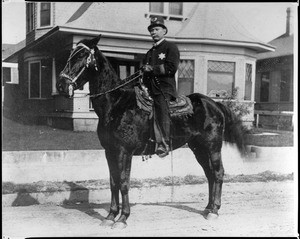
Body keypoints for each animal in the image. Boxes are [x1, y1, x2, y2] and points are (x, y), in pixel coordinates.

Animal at [56, 34, 246, 229]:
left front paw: (123, 218)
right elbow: (113, 182)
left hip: (213, 146)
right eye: (71, 54)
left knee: (218, 173)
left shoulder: (124, 152)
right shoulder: (110, 151)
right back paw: (208, 207)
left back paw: (214, 210)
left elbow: (123, 182)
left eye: (81, 55)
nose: (61, 84)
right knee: (209, 174)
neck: (116, 104)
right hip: (198, 148)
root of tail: (215, 104)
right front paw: (110, 216)